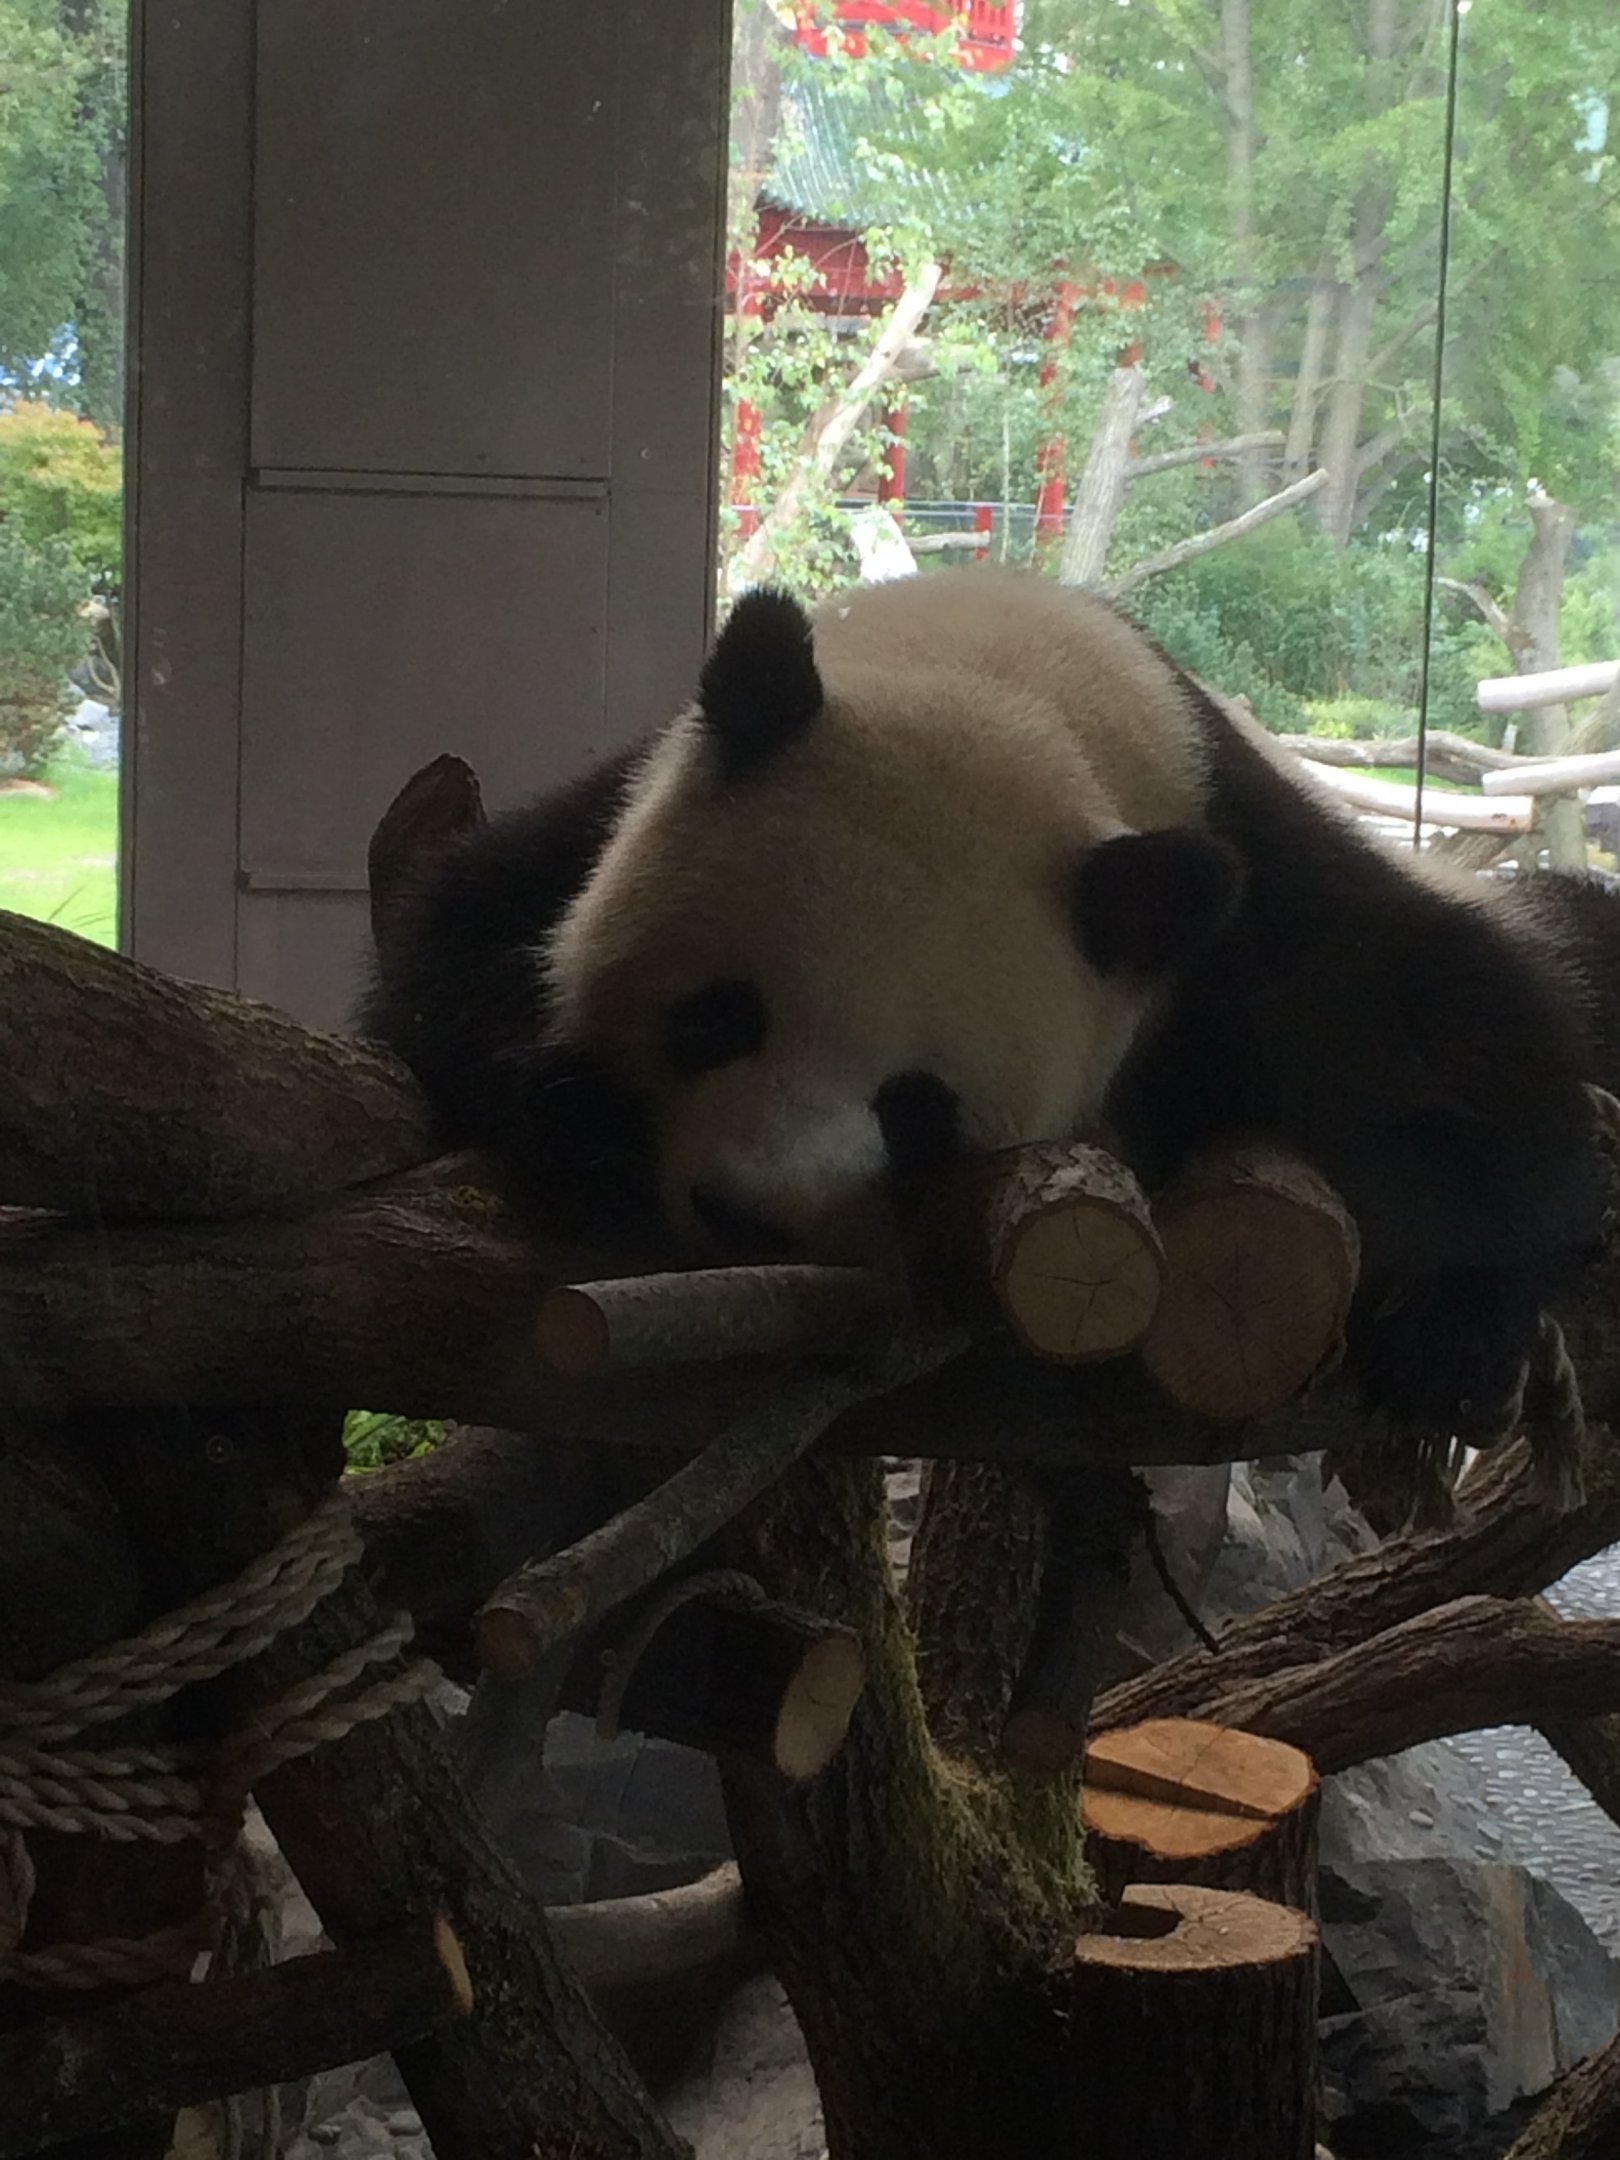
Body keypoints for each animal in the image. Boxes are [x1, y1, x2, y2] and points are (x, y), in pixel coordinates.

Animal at [363, 567, 1620, 1448]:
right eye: (717, 1017)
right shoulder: (640, 788)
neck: (1007, 688)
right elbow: (461, 935)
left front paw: (1453, 1332)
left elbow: (1435, 1032)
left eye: (916, 1104)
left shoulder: (1231, 872)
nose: (747, 1213)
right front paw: (574, 1109)